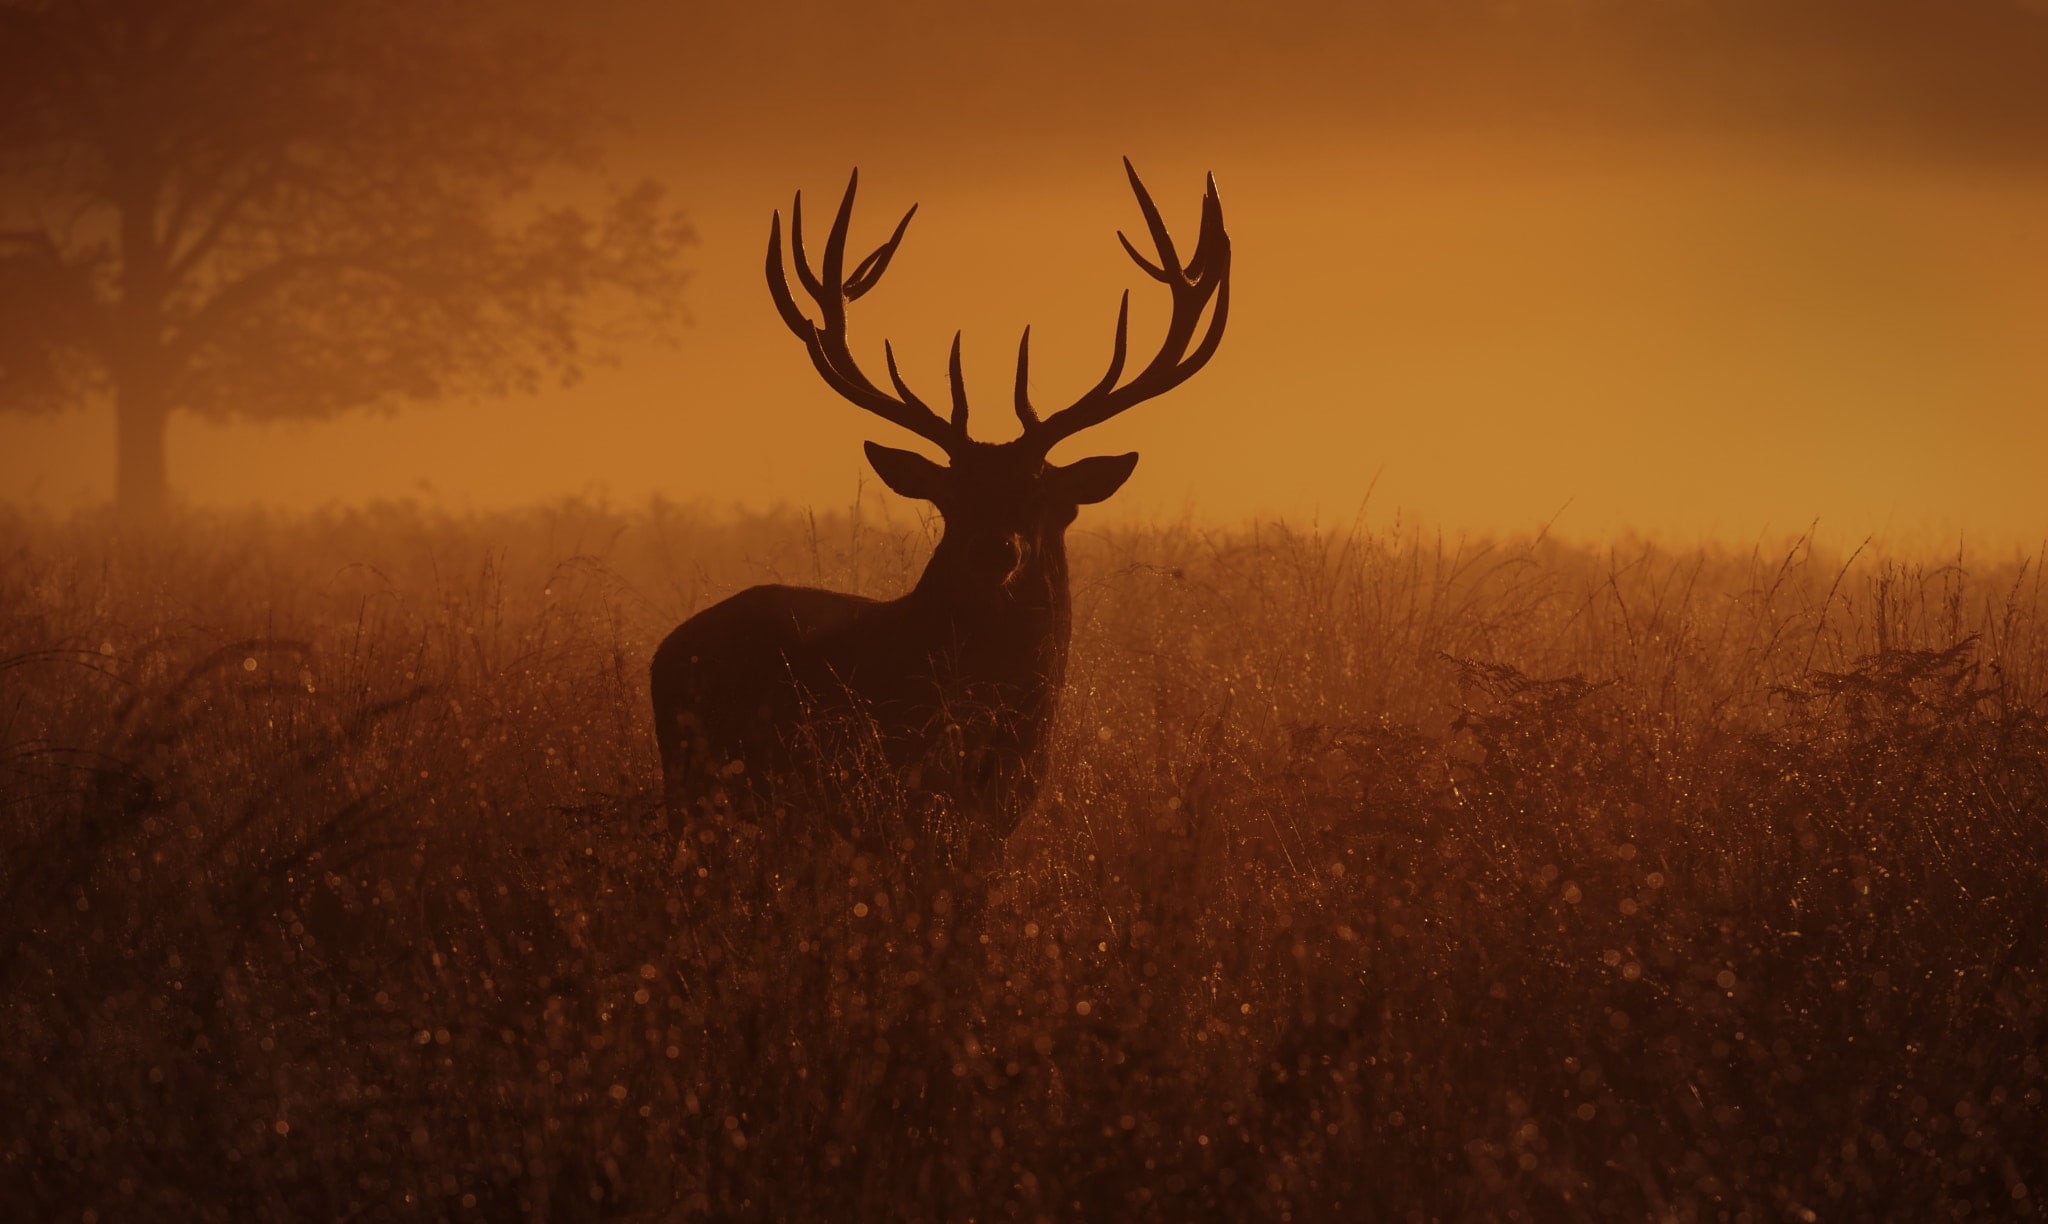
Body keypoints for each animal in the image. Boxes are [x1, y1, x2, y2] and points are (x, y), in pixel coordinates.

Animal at [650, 160, 1229, 871]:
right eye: (951, 499)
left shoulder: (999, 817)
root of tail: (665, 650)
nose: (994, 548)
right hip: (697, 783)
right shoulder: (884, 801)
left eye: (1044, 498)